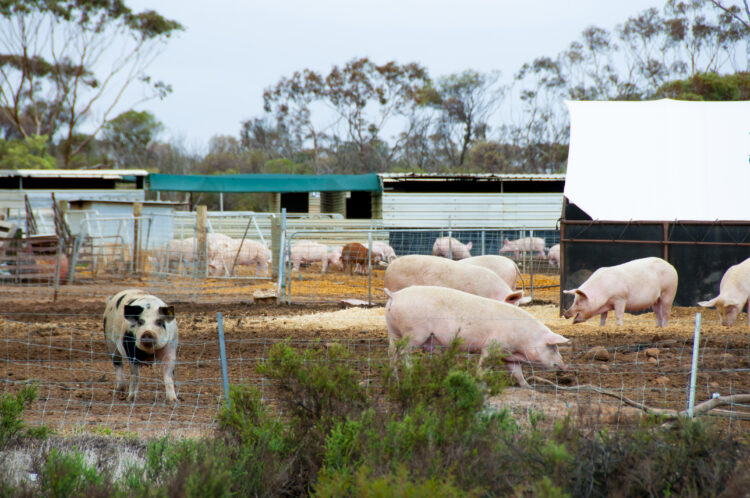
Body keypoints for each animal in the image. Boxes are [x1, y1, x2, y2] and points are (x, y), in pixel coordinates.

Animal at [385, 286, 569, 387]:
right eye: (553, 348)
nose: (565, 366)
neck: (524, 339)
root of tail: (395, 295)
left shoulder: (509, 356)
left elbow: (517, 373)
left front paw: (528, 387)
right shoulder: (492, 346)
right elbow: (484, 364)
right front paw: (479, 379)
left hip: (394, 333)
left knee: (392, 354)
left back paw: (395, 379)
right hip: (414, 333)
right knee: (403, 353)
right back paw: (410, 373)